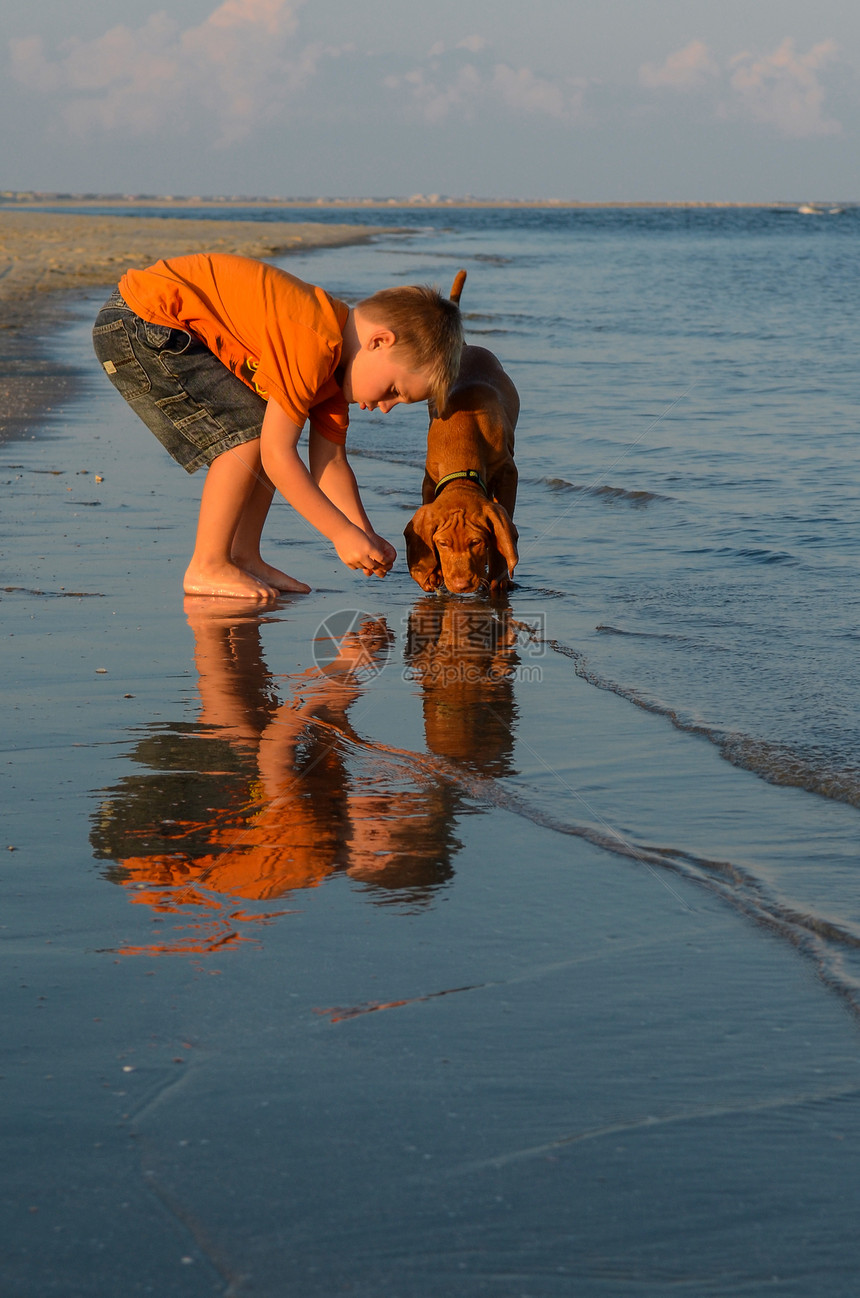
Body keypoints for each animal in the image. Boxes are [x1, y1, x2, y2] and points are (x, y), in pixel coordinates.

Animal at [404, 276, 518, 599]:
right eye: (442, 543)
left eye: (476, 542)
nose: (460, 585)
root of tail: (465, 347)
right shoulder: (429, 479)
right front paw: (430, 573)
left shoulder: (509, 473)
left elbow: (503, 527)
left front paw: (499, 576)